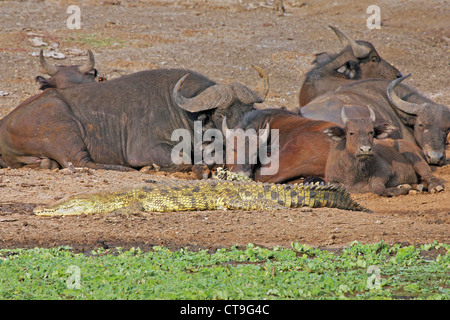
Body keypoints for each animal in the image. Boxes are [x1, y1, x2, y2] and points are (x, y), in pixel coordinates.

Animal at [0, 65, 268, 172]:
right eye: (222, 114)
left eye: (249, 111)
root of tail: (5, 122)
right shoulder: (144, 149)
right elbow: (182, 158)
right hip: (64, 130)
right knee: (79, 162)